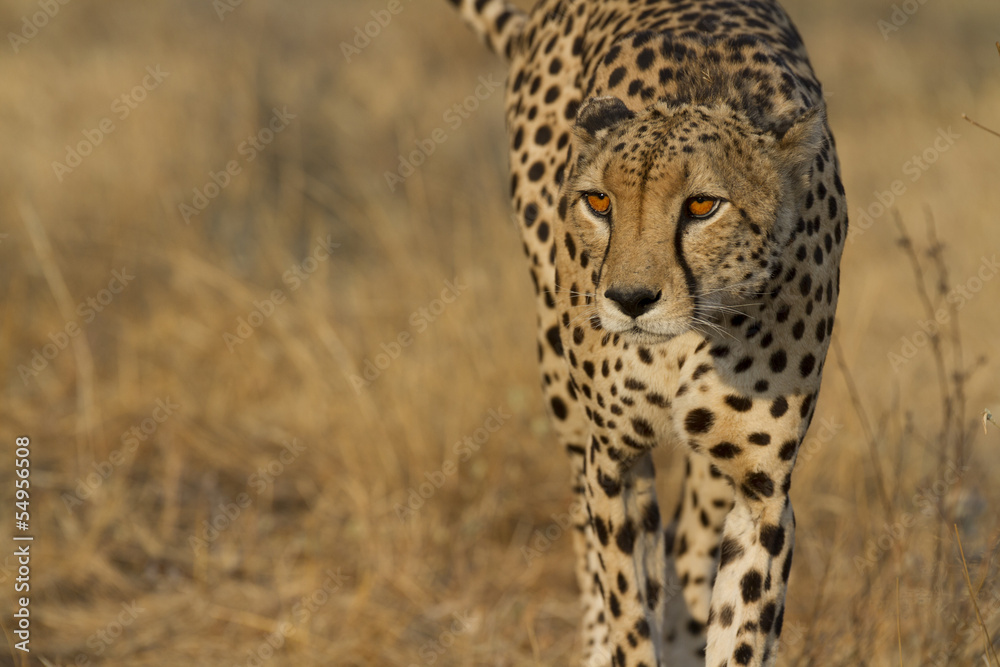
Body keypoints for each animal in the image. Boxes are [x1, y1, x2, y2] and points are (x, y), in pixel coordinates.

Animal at [444, 0, 847, 665]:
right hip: (561, 386)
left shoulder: (763, 489)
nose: (630, 300)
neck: (687, 342)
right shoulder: (615, 459)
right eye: (599, 202)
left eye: (703, 206)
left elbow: (740, 623)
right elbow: (628, 611)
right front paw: (621, 639)